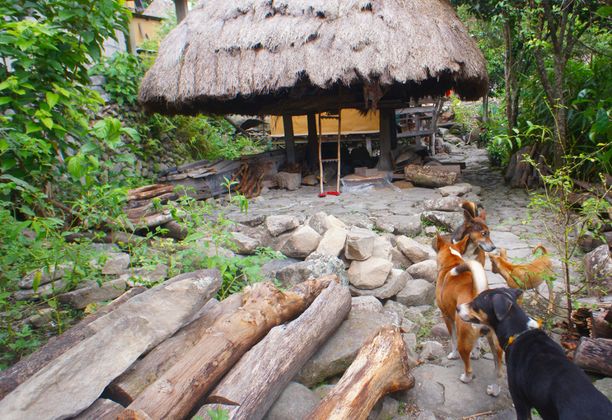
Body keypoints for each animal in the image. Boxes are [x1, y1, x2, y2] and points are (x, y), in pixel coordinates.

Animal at [436, 235, 502, 396]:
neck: (452, 263)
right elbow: (477, 343)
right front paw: (476, 353)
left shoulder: (447, 317)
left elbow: (452, 339)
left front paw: (452, 355)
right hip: (496, 346)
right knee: (498, 372)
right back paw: (494, 390)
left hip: (463, 342)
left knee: (469, 368)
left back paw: (465, 378)